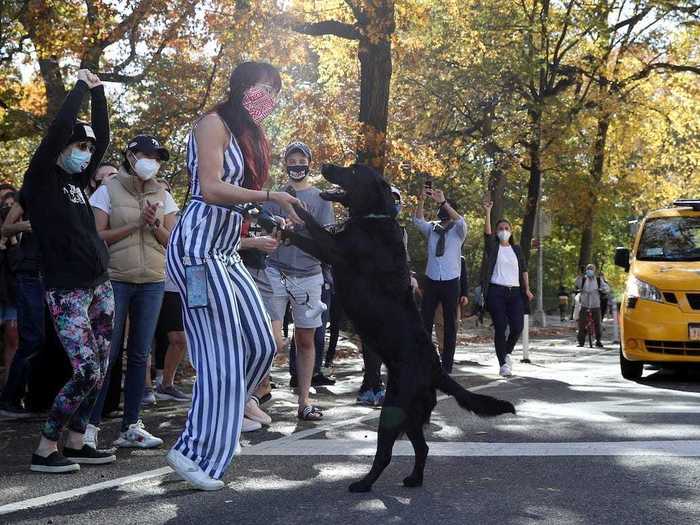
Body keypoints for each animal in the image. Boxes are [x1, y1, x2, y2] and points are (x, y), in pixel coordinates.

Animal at [284, 163, 516, 492]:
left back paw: (364, 484)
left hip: (392, 413)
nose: (326, 167)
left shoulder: (333, 250)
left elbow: (311, 228)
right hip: (409, 414)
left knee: (385, 454)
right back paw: (414, 479)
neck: (373, 218)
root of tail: (436, 370)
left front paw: (291, 215)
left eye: (352, 170)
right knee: (422, 447)